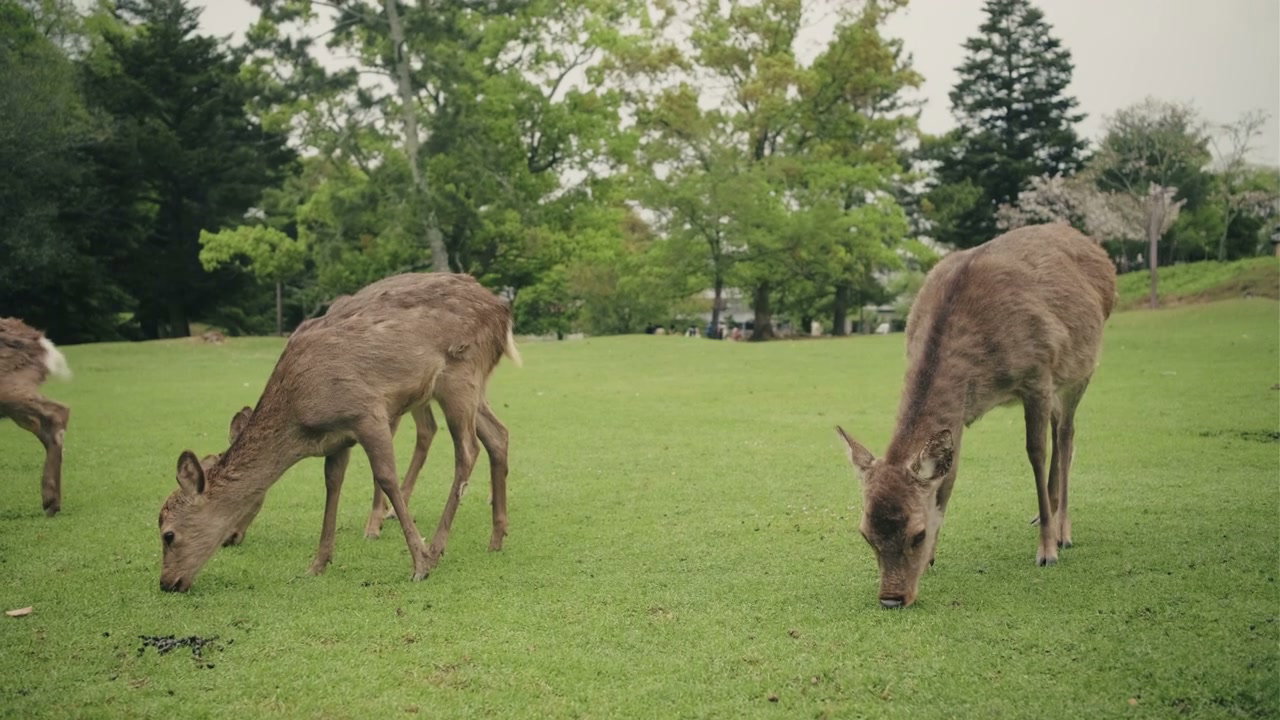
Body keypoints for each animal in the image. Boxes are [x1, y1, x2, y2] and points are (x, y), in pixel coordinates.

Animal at [158, 273, 520, 592]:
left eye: (168, 534)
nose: (166, 583)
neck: (300, 419)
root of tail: (503, 312)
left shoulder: (368, 411)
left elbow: (385, 478)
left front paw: (419, 563)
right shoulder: (336, 440)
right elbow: (332, 484)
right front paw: (317, 564)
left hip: (458, 374)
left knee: (467, 449)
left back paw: (437, 546)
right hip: (471, 386)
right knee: (497, 435)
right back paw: (496, 538)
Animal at [836, 223, 1116, 609]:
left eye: (917, 534)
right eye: (865, 535)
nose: (891, 599)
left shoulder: (1037, 376)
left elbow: (1035, 452)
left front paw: (1046, 550)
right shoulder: (961, 415)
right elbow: (950, 475)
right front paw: (935, 558)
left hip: (1081, 368)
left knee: (1066, 434)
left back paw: (1062, 529)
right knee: (1061, 428)